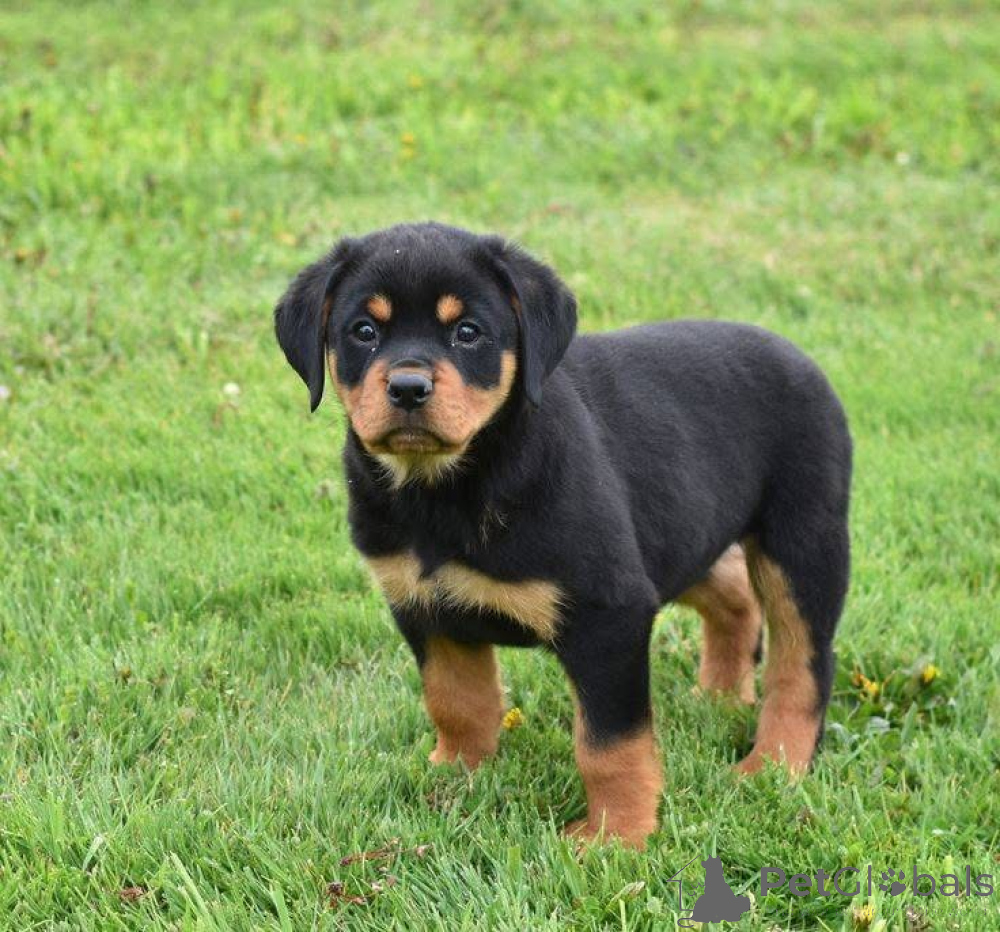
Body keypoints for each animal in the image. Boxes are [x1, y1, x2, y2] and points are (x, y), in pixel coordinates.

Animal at [274, 222, 852, 849]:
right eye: (363, 330)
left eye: (468, 332)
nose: (407, 387)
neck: (448, 487)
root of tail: (798, 355)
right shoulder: (421, 605)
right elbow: (456, 701)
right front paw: (455, 776)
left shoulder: (610, 613)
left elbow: (610, 744)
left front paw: (615, 835)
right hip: (675, 537)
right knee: (735, 598)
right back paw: (720, 698)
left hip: (803, 541)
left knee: (802, 665)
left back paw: (772, 764)